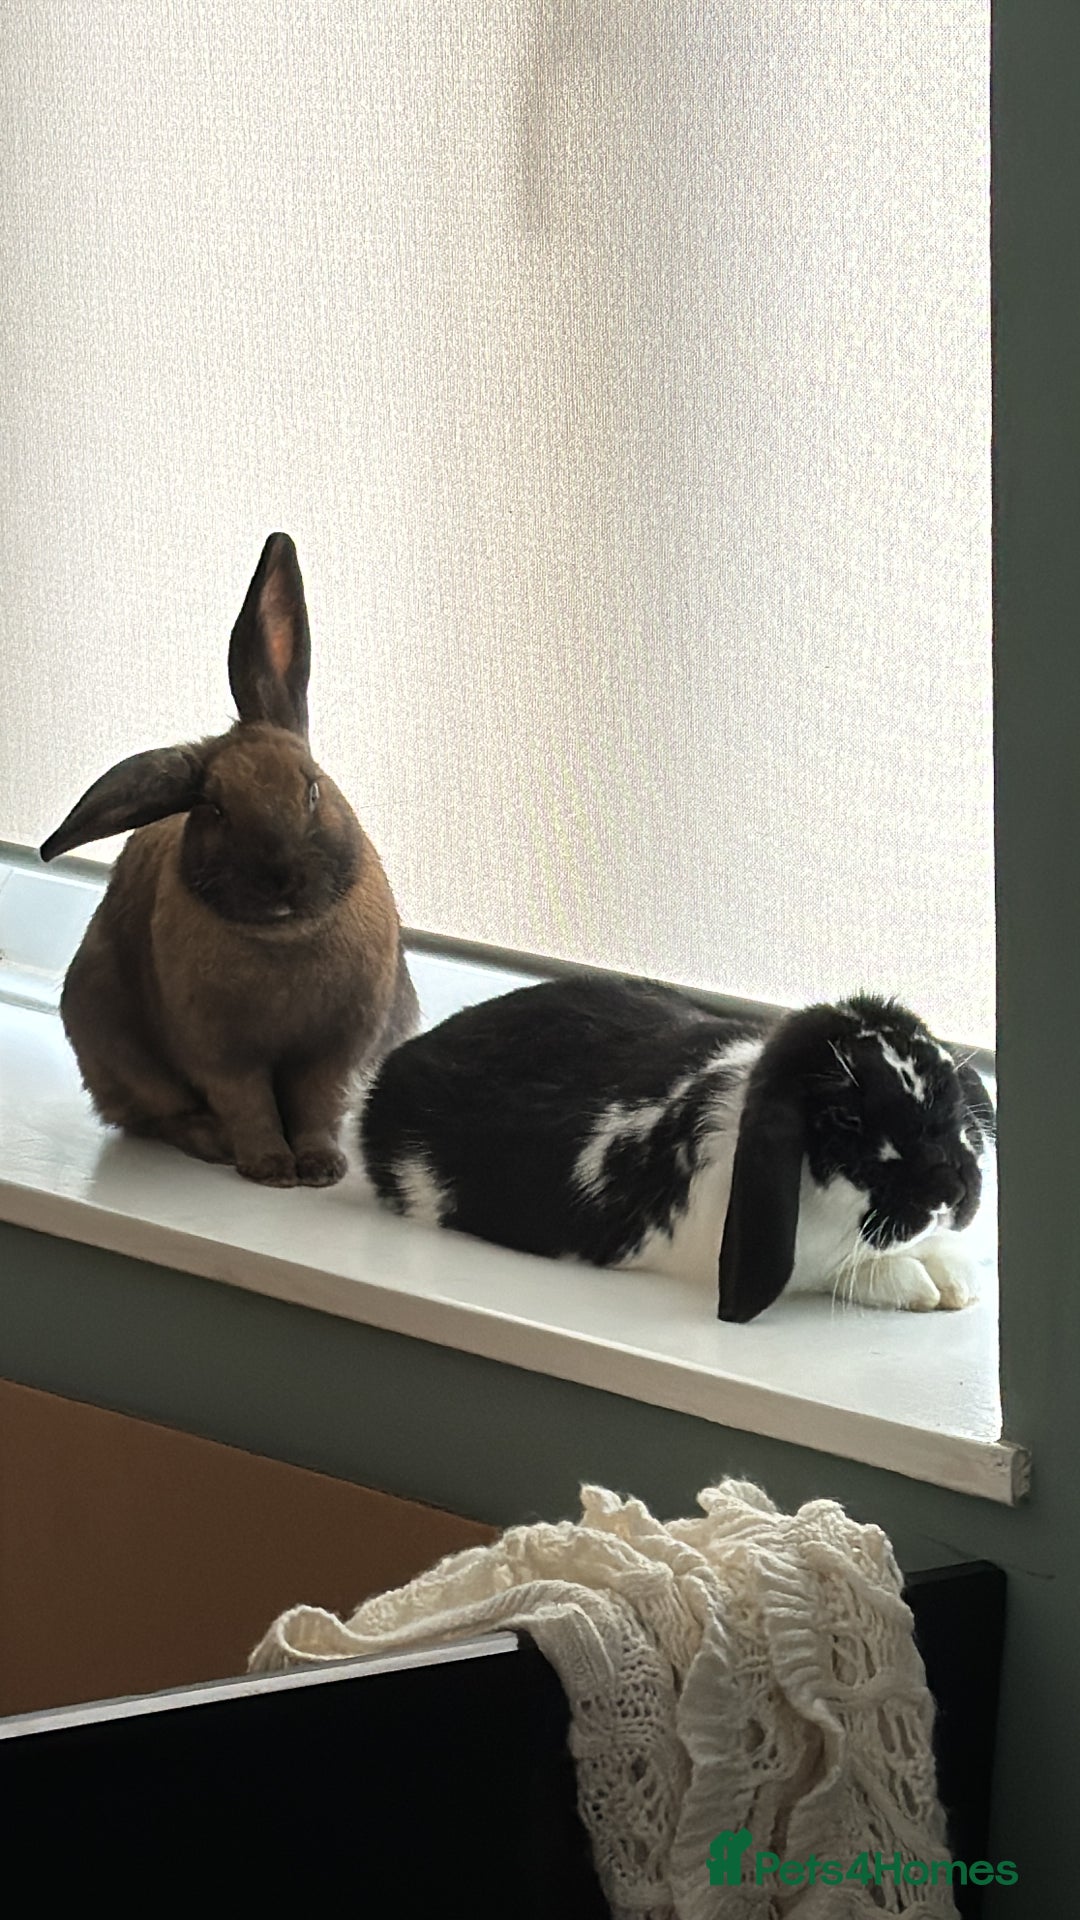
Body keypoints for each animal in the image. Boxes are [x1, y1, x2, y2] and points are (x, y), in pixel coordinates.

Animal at [40, 532, 419, 1187]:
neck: (286, 940)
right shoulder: (222, 1057)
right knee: (158, 1117)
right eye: (215, 810)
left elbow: (317, 1106)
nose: (280, 879)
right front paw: (272, 1169)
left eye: (312, 789)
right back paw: (213, 1143)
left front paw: (320, 1169)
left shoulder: (336, 1052)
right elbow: (250, 1108)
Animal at [358, 974, 994, 1322]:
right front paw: (925, 1282)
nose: (948, 1188)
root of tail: (395, 1068)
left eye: (948, 1086)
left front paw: (952, 1274)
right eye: (845, 1117)